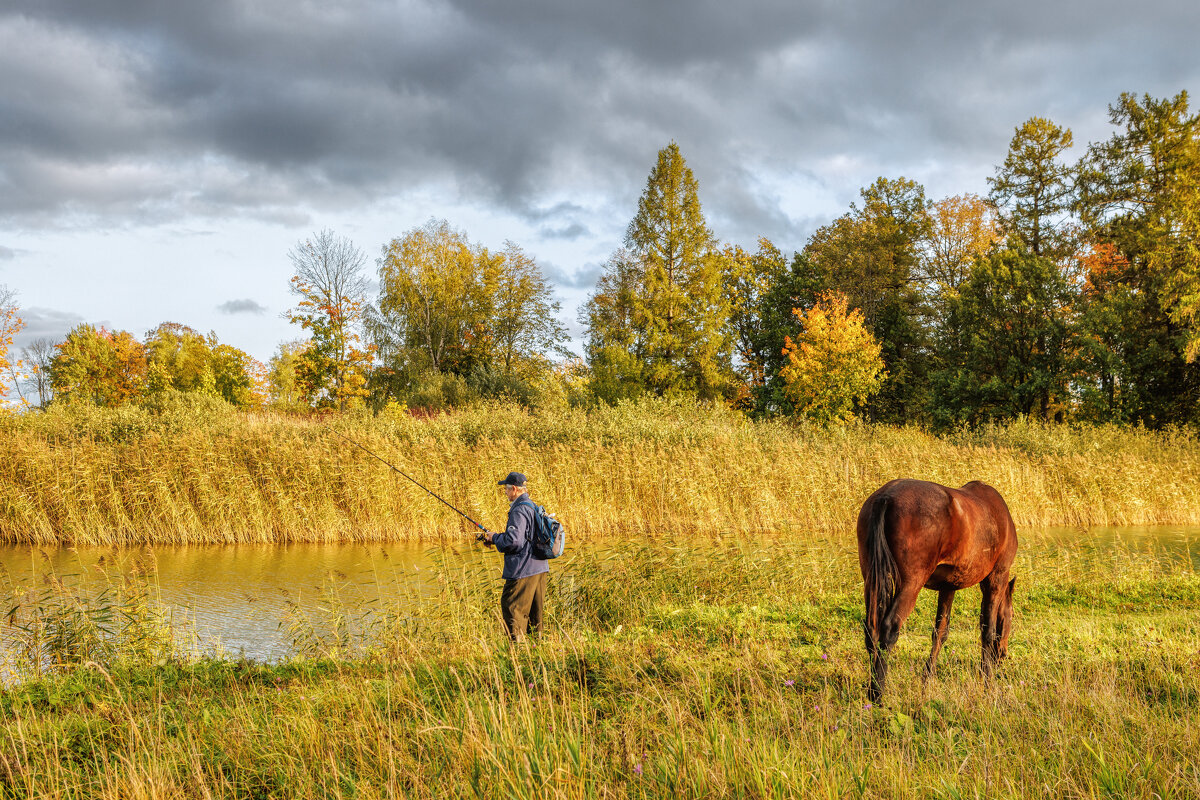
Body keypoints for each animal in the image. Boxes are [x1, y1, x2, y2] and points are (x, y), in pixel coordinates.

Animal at [859, 479, 1017, 705]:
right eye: (1012, 615)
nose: (1003, 653)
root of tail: (886, 497)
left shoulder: (948, 587)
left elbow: (940, 633)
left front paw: (928, 679)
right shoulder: (996, 579)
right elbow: (987, 630)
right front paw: (987, 682)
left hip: (871, 579)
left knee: (871, 630)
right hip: (911, 584)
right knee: (888, 629)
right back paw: (878, 694)